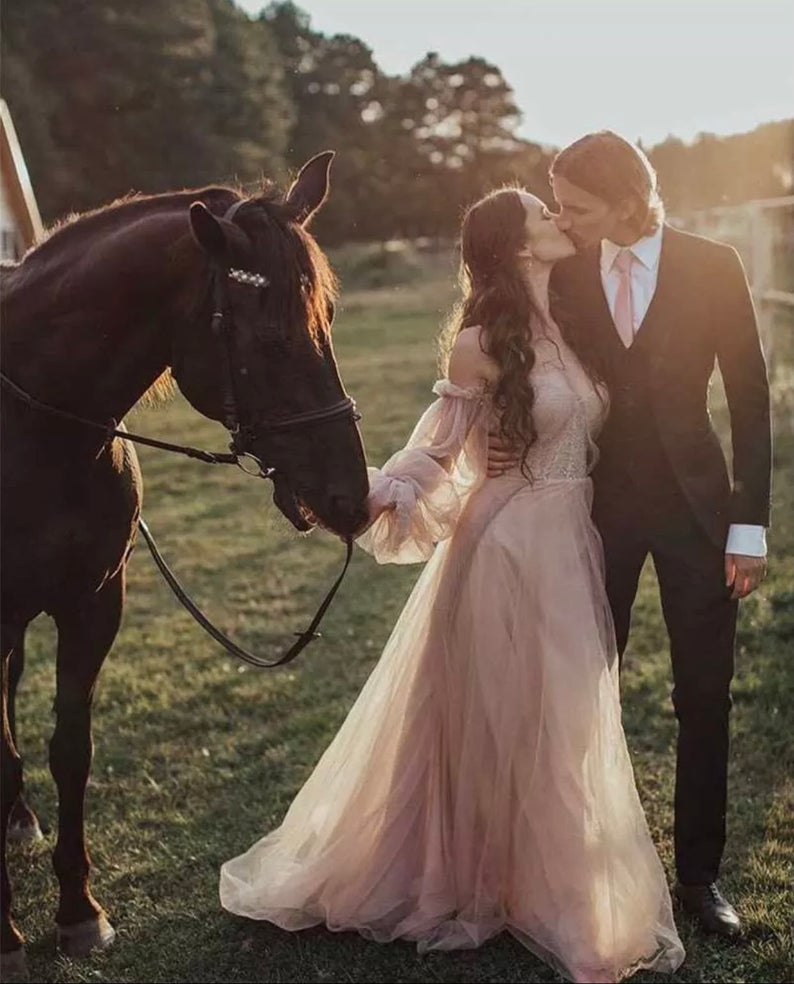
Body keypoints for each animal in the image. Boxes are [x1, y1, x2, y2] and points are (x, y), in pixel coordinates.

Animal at [0, 150, 370, 972]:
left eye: (328, 321)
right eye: (271, 340)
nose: (352, 499)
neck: (32, 428)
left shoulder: (93, 603)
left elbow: (70, 750)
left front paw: (79, 912)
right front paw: (6, 935)